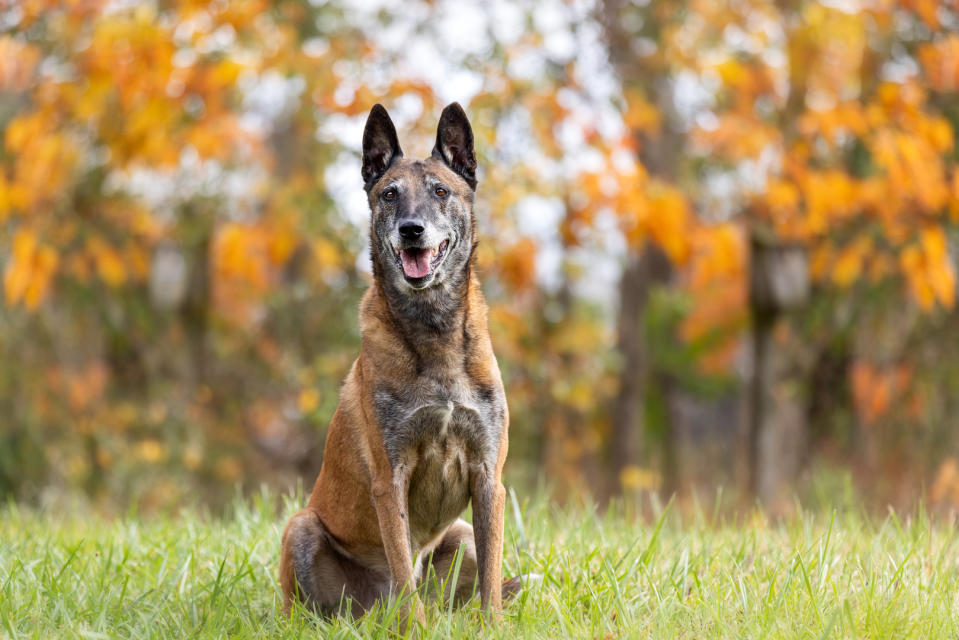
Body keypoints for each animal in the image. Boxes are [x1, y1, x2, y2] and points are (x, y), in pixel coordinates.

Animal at [278, 104, 516, 620]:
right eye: (390, 194)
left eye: (441, 191)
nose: (411, 230)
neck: (434, 333)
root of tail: (370, 608)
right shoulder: (391, 480)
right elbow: (404, 569)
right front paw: (416, 627)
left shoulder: (489, 478)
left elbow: (490, 578)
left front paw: (492, 624)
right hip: (300, 527)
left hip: (461, 536)